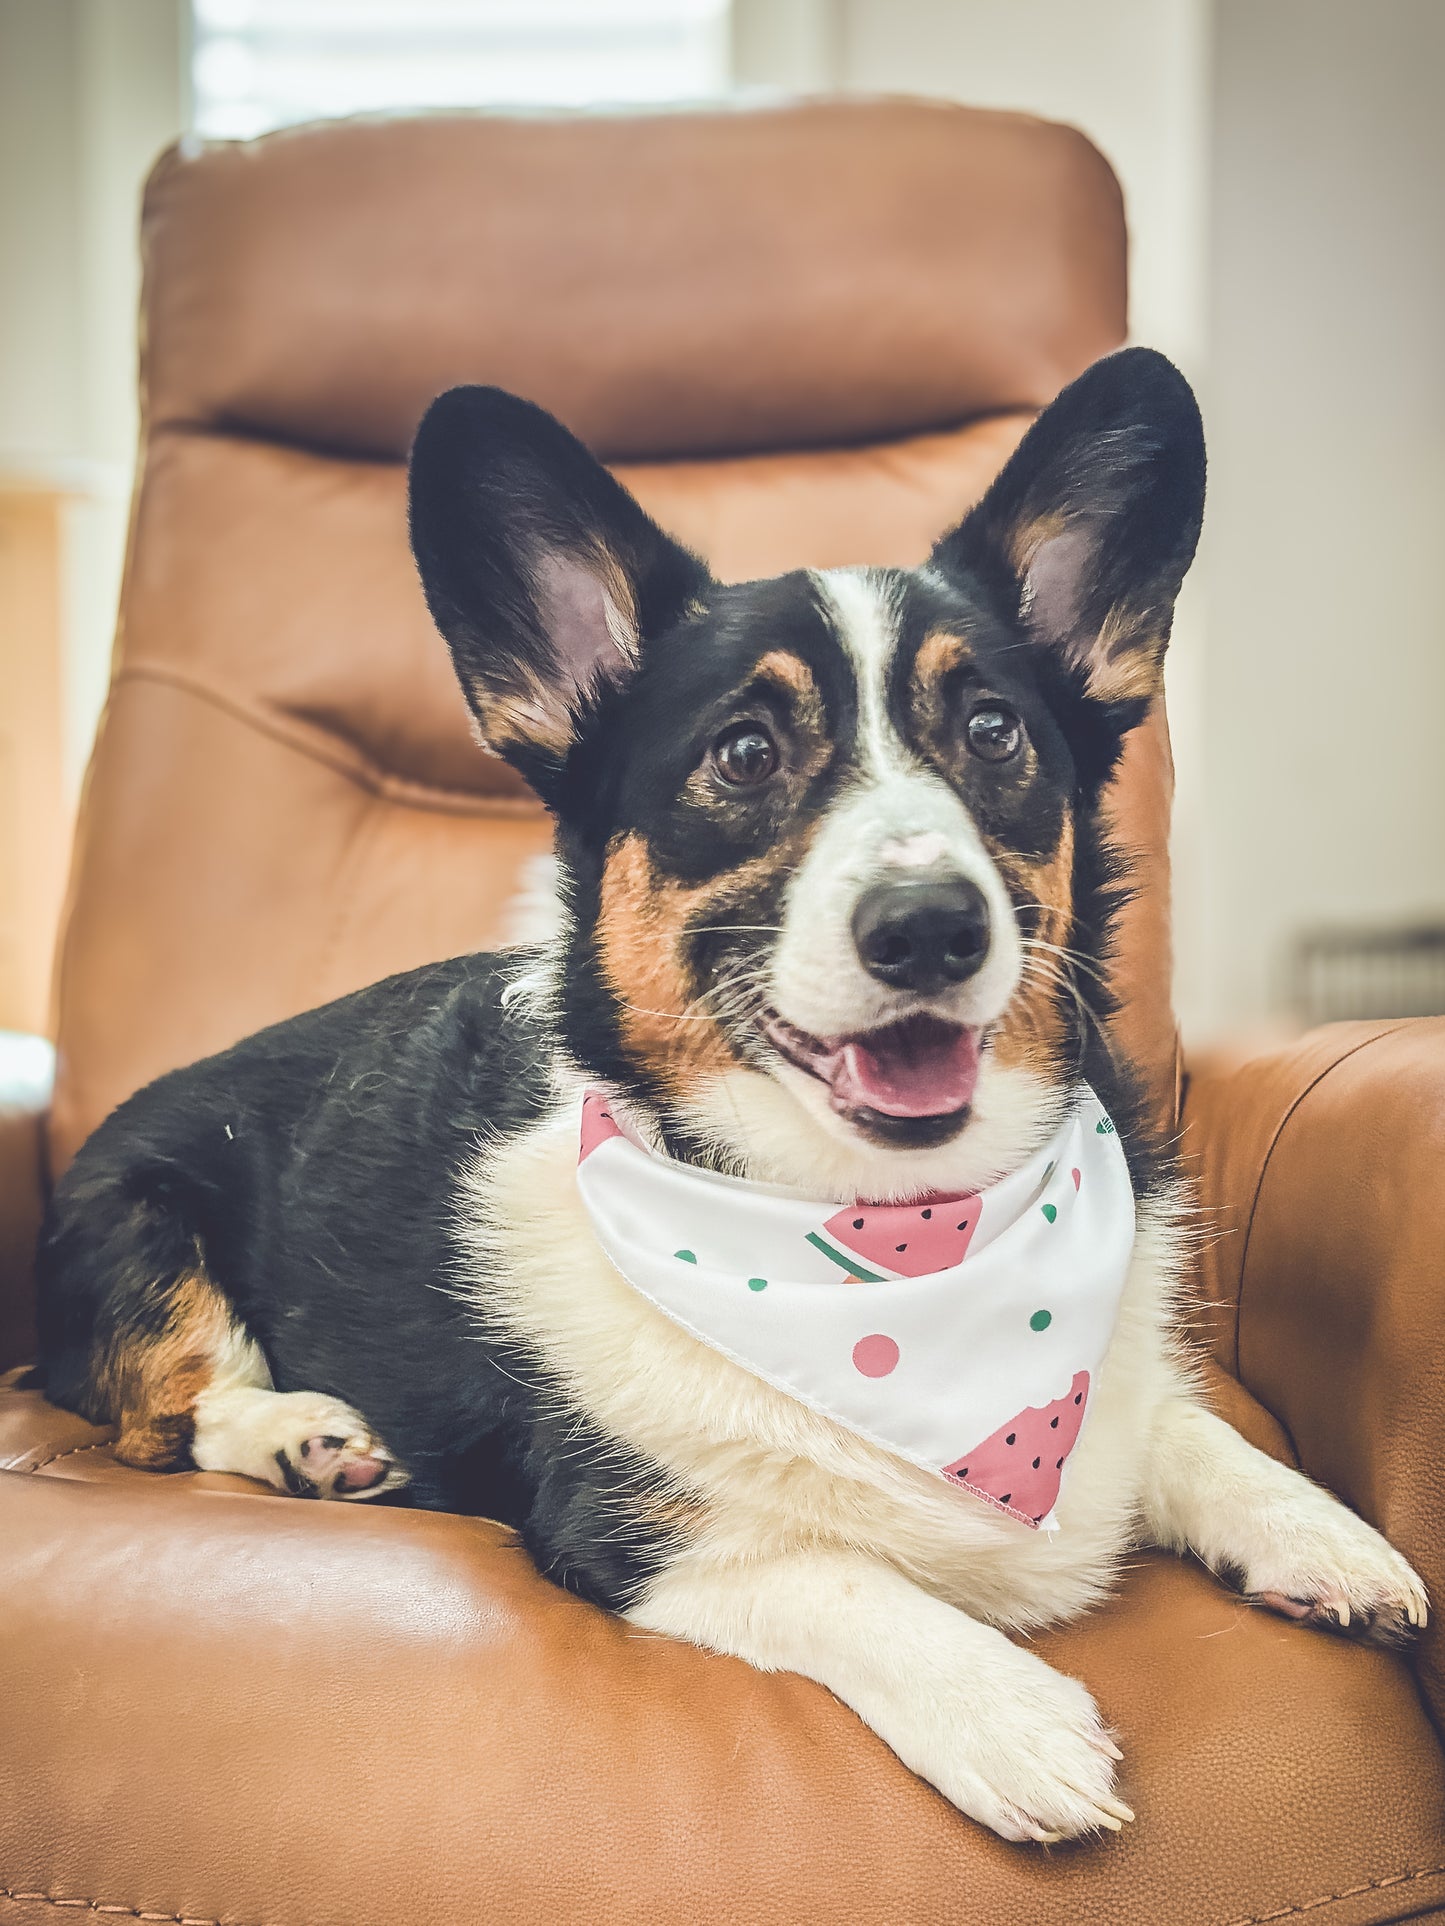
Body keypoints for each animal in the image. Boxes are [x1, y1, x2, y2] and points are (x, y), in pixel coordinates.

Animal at [33, 350, 1425, 1848]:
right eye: (745, 753)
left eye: (993, 730)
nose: (930, 928)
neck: (885, 1240)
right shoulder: (639, 1533)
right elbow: (830, 1571)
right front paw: (1010, 1716)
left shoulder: (1120, 1402)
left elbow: (1183, 1425)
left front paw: (1323, 1535)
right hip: (138, 1222)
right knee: (159, 1413)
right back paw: (303, 1434)